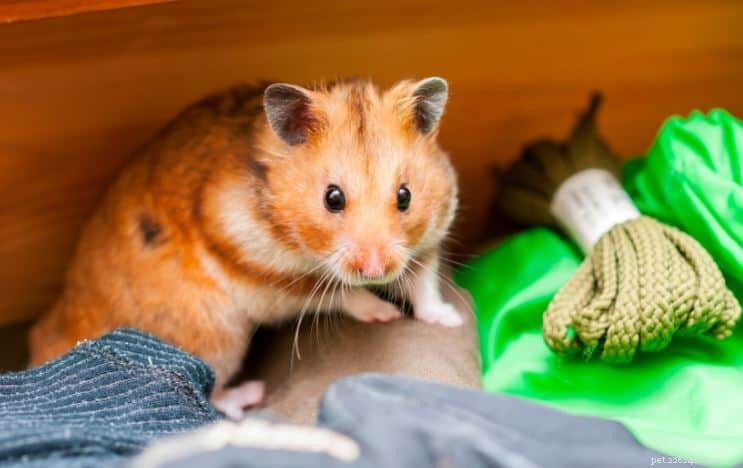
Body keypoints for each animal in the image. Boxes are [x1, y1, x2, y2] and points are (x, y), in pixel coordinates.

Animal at [29, 77, 461, 419]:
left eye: (405, 196)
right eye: (332, 198)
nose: (376, 271)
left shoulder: (427, 241)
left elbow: (424, 285)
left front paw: (449, 319)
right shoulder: (268, 276)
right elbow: (340, 295)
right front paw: (385, 313)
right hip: (215, 335)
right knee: (206, 387)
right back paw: (247, 396)